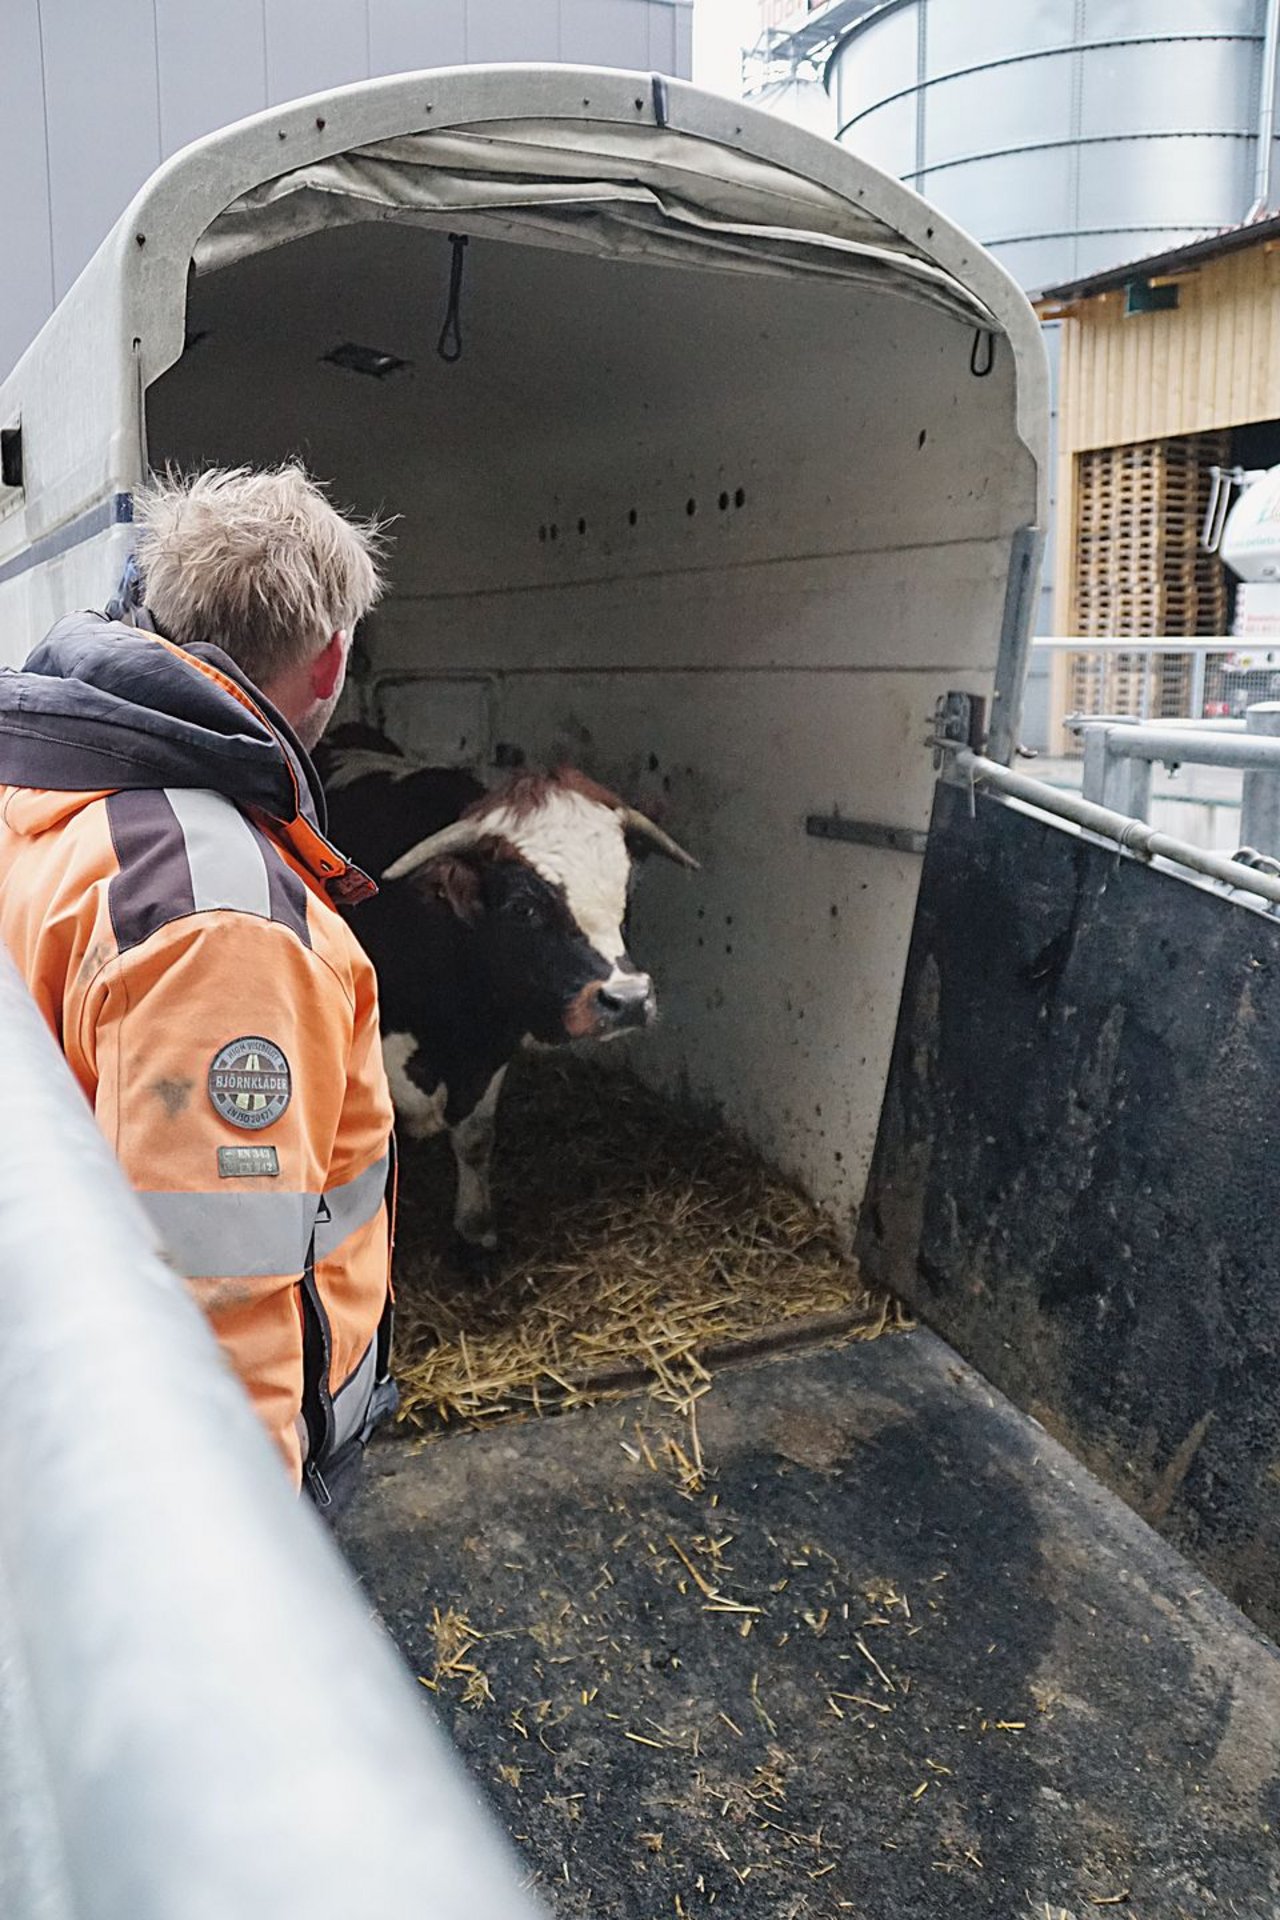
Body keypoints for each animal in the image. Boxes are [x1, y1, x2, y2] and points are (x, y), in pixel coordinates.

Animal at [320, 725, 702, 1267]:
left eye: (627, 893)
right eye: (523, 906)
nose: (628, 999)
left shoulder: (492, 1045)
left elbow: (476, 1139)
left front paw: (476, 1231)